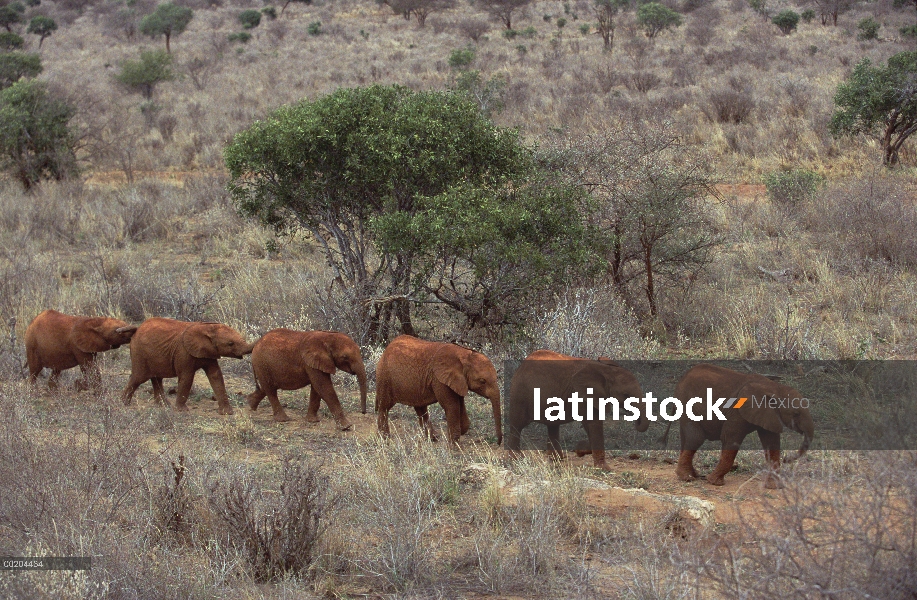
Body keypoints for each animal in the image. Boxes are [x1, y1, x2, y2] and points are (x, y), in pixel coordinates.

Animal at [120, 318, 254, 412]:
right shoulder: (183, 352)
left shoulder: (209, 352)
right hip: (139, 352)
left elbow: (216, 376)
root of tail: (137, 328)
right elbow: (187, 377)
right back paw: (123, 403)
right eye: (230, 343)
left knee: (157, 379)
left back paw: (164, 406)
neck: (207, 327)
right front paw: (182, 411)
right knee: (138, 377)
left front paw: (227, 413)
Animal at [372, 332, 500, 446]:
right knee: (384, 407)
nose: (498, 443)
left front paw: (458, 434)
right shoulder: (439, 380)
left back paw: (433, 439)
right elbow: (452, 406)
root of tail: (386, 350)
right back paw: (384, 439)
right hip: (384, 377)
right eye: (482, 381)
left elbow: (460, 405)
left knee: (421, 409)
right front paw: (454, 445)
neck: (464, 353)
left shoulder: (456, 381)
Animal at [504, 350, 648, 472]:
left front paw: (581, 450)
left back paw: (557, 459)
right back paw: (516, 458)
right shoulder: (583, 395)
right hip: (520, 393)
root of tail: (522, 365)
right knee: (517, 425)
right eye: (626, 395)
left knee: (552, 425)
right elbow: (593, 424)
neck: (605, 370)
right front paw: (603, 468)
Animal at [668, 364, 812, 490]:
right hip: (688, 404)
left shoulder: (768, 414)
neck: (775, 387)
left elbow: (772, 443)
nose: (787, 459)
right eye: (796, 413)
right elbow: (730, 439)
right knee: (696, 438)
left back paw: (694, 474)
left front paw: (774, 487)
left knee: (687, 438)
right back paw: (687, 478)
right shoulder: (737, 412)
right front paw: (714, 482)